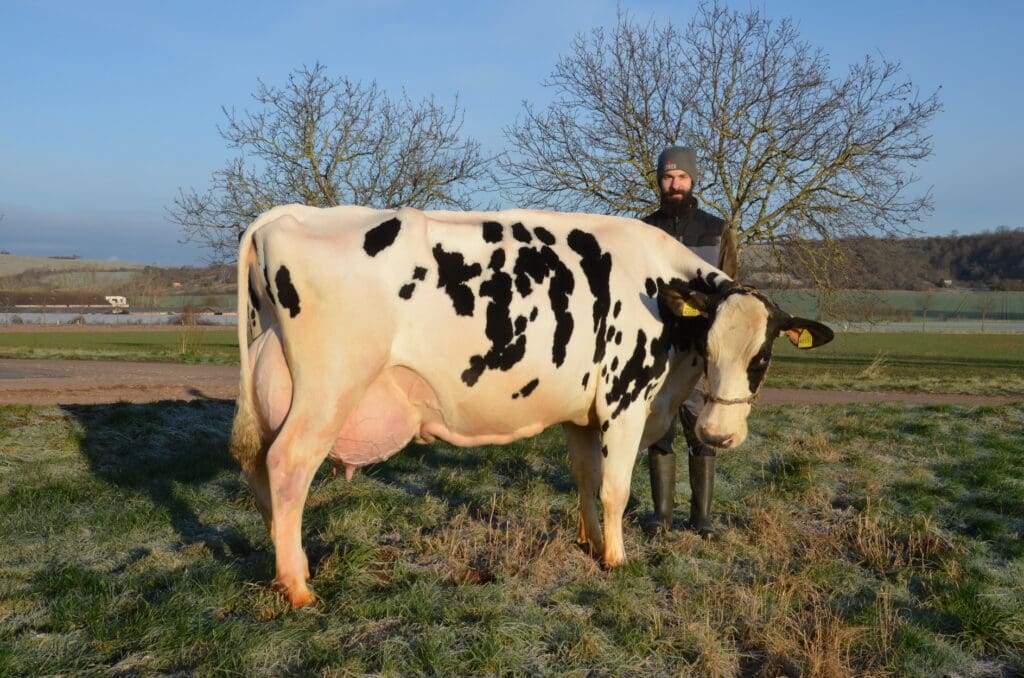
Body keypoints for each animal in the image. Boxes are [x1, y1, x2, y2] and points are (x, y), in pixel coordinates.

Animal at [232, 204, 831, 606]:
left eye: (761, 356)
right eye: (710, 347)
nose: (718, 434)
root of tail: (295, 214)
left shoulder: (582, 413)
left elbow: (586, 478)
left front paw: (590, 543)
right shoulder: (624, 402)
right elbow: (615, 489)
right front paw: (616, 559)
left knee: (258, 467)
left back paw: (288, 564)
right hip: (329, 389)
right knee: (288, 465)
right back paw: (298, 588)